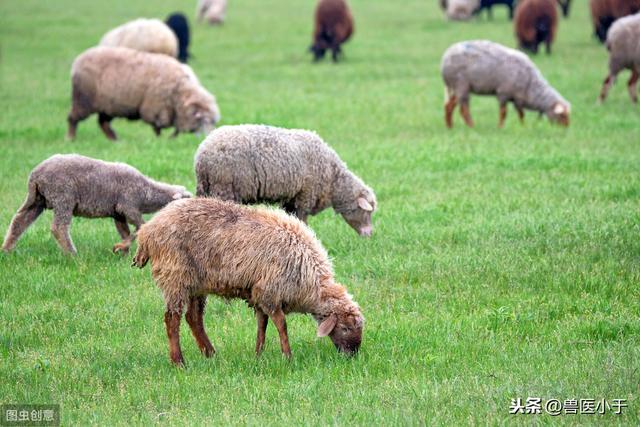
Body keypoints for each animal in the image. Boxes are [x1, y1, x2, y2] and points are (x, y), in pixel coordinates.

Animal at [1, 155, 191, 256]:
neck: (146, 193)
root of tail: (36, 175)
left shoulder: (118, 213)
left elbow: (125, 231)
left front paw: (124, 252)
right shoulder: (128, 206)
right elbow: (141, 227)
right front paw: (120, 248)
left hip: (37, 200)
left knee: (19, 221)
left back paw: (6, 250)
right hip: (63, 197)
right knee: (59, 227)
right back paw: (72, 254)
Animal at [65, 46, 220, 141]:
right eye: (205, 120)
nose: (210, 136)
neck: (179, 90)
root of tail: (78, 60)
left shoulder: (171, 111)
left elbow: (174, 129)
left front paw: (171, 138)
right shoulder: (155, 109)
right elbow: (158, 127)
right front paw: (160, 140)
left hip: (108, 104)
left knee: (103, 123)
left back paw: (115, 140)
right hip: (83, 99)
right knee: (73, 118)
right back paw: (71, 138)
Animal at [132, 198, 364, 368]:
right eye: (345, 328)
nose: (352, 355)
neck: (310, 279)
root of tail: (147, 231)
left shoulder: (259, 293)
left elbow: (262, 324)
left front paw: (258, 354)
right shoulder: (269, 291)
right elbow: (282, 325)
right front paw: (287, 356)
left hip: (196, 283)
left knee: (193, 318)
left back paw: (211, 354)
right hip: (175, 276)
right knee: (172, 319)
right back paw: (179, 362)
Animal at [192, 124, 378, 237]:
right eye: (367, 212)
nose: (369, 234)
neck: (333, 180)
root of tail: (202, 155)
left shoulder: (292, 198)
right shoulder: (304, 196)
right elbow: (302, 220)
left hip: (207, 187)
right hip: (224, 187)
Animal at [440, 39, 568, 128]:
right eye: (562, 115)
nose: (565, 130)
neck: (531, 85)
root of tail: (445, 58)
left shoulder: (517, 98)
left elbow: (521, 114)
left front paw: (523, 126)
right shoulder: (503, 93)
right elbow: (503, 113)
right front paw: (500, 127)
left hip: (457, 87)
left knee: (449, 106)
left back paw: (449, 126)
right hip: (461, 85)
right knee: (463, 110)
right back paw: (472, 126)